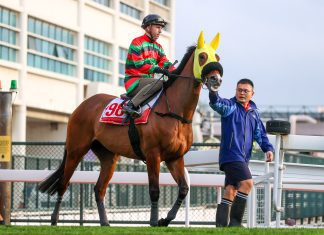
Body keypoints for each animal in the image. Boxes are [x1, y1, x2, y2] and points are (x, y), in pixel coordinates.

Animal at [38, 30, 223, 226]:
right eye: (202, 56)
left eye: (217, 57)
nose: (216, 79)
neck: (174, 112)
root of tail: (81, 106)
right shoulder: (153, 155)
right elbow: (154, 190)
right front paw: (154, 221)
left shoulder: (175, 158)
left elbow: (184, 188)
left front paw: (165, 219)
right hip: (76, 149)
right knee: (63, 184)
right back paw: (54, 220)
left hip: (108, 157)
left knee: (99, 189)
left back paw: (105, 223)